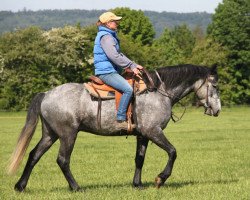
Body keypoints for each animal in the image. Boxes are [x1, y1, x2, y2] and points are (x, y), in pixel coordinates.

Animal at [8, 63, 221, 191]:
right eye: (215, 86)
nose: (218, 109)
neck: (158, 92)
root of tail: (46, 94)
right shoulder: (153, 131)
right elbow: (173, 152)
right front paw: (160, 179)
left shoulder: (143, 135)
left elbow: (139, 159)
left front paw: (137, 184)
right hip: (68, 135)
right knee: (63, 160)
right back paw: (76, 187)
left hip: (50, 134)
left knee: (34, 155)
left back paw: (20, 186)